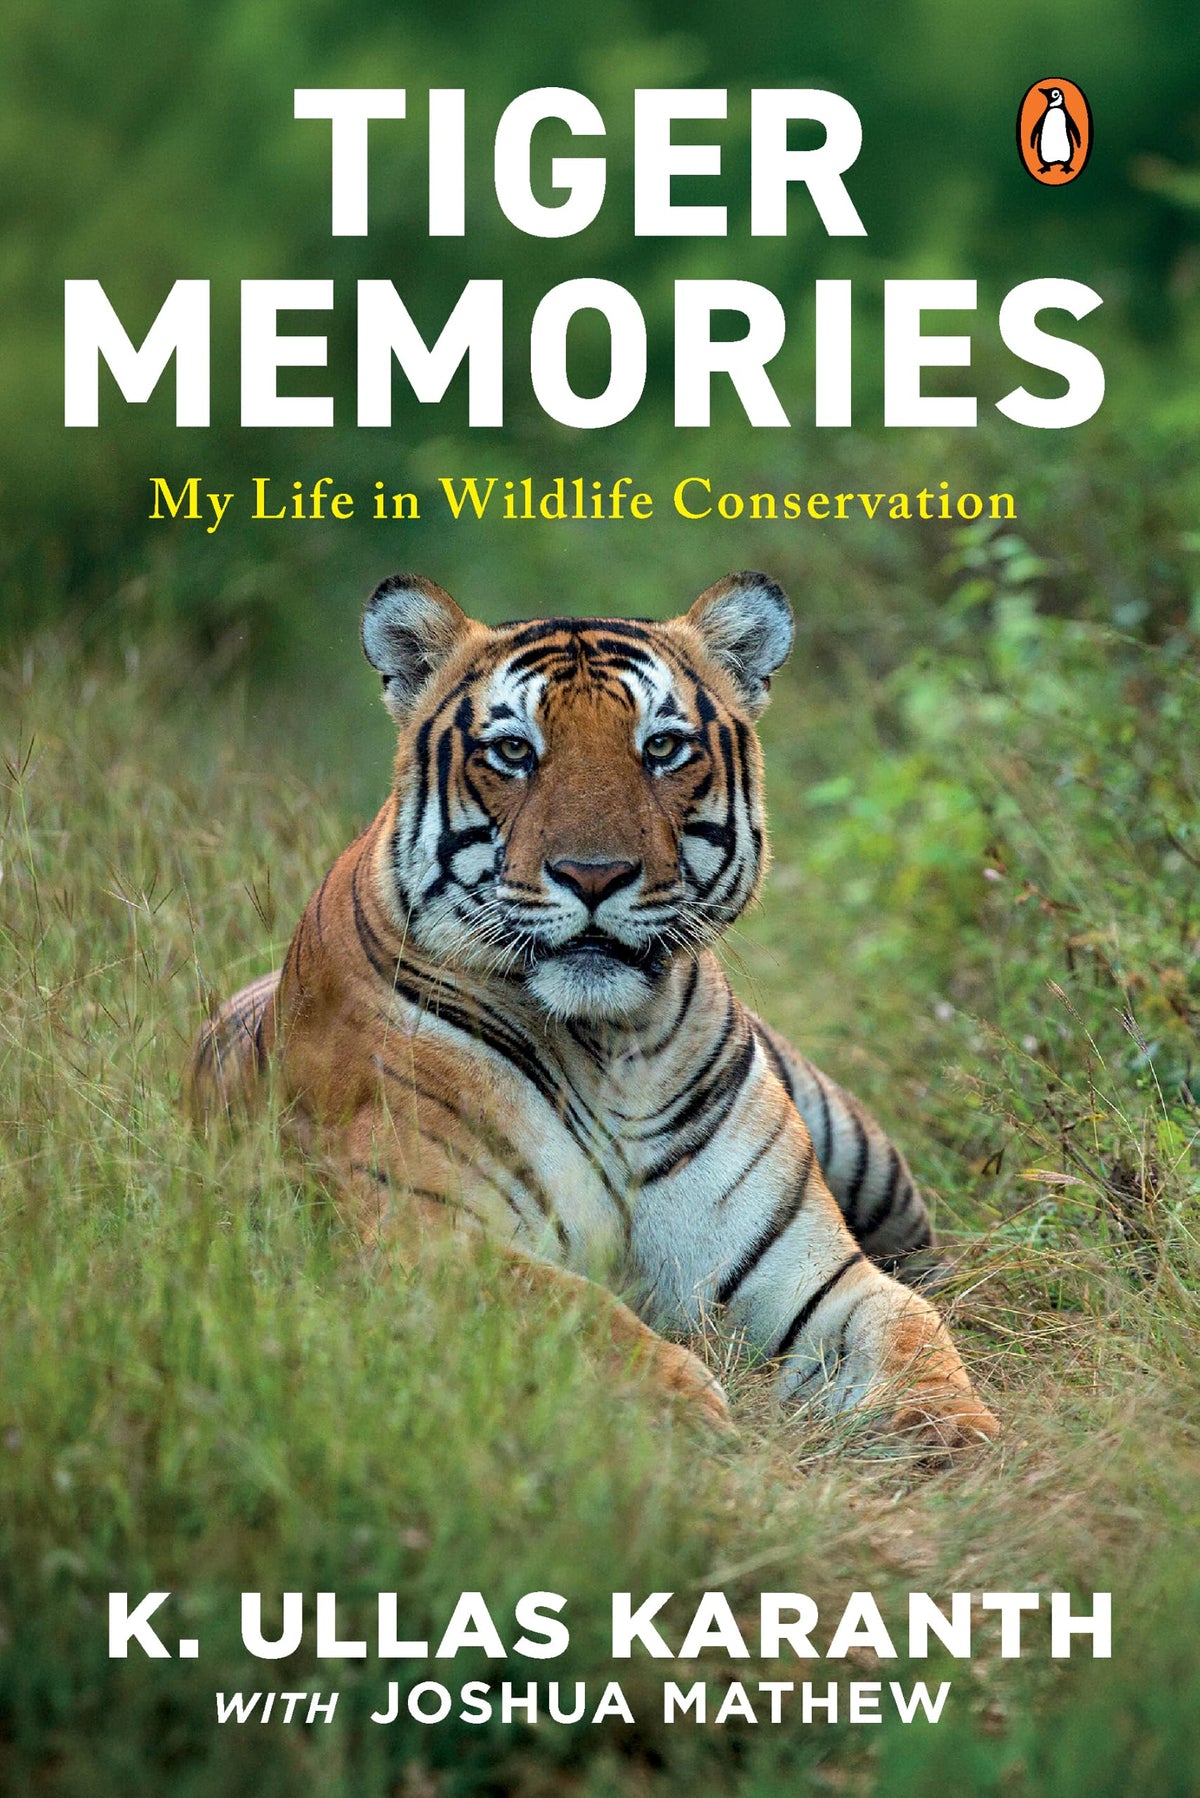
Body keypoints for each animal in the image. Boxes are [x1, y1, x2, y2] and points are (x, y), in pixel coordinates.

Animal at [187, 570, 998, 1448]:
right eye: (514, 751)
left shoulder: (807, 1270)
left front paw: (956, 1434)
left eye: (662, 747)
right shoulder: (423, 1238)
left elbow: (909, 1328)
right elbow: (574, 1314)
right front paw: (685, 1419)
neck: (612, 1049)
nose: (594, 874)